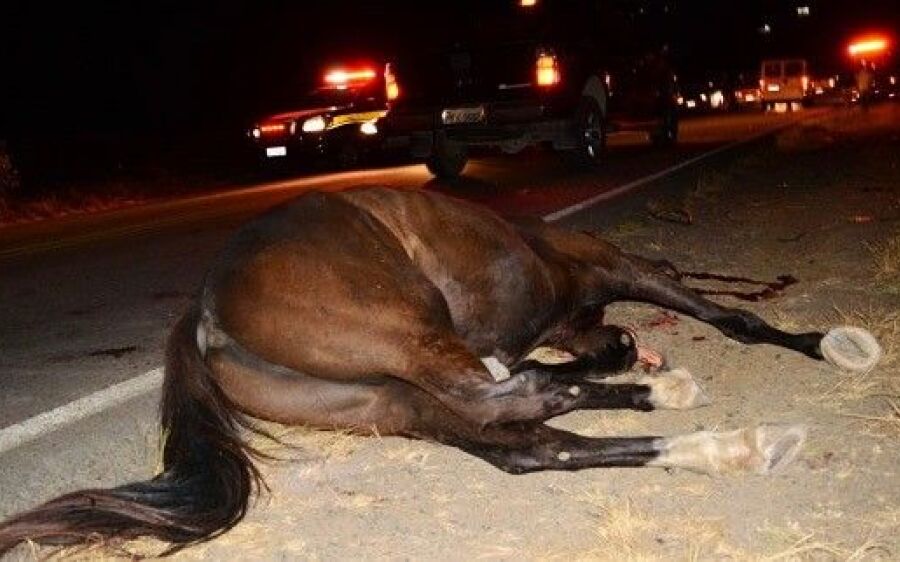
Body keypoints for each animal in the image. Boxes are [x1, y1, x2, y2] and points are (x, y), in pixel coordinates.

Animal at [0, 187, 863, 556]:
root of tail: (204, 310)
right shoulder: (620, 266)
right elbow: (735, 320)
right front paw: (822, 342)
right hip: (403, 333)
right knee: (509, 396)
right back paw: (671, 400)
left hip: (385, 400)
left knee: (528, 442)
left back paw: (725, 444)